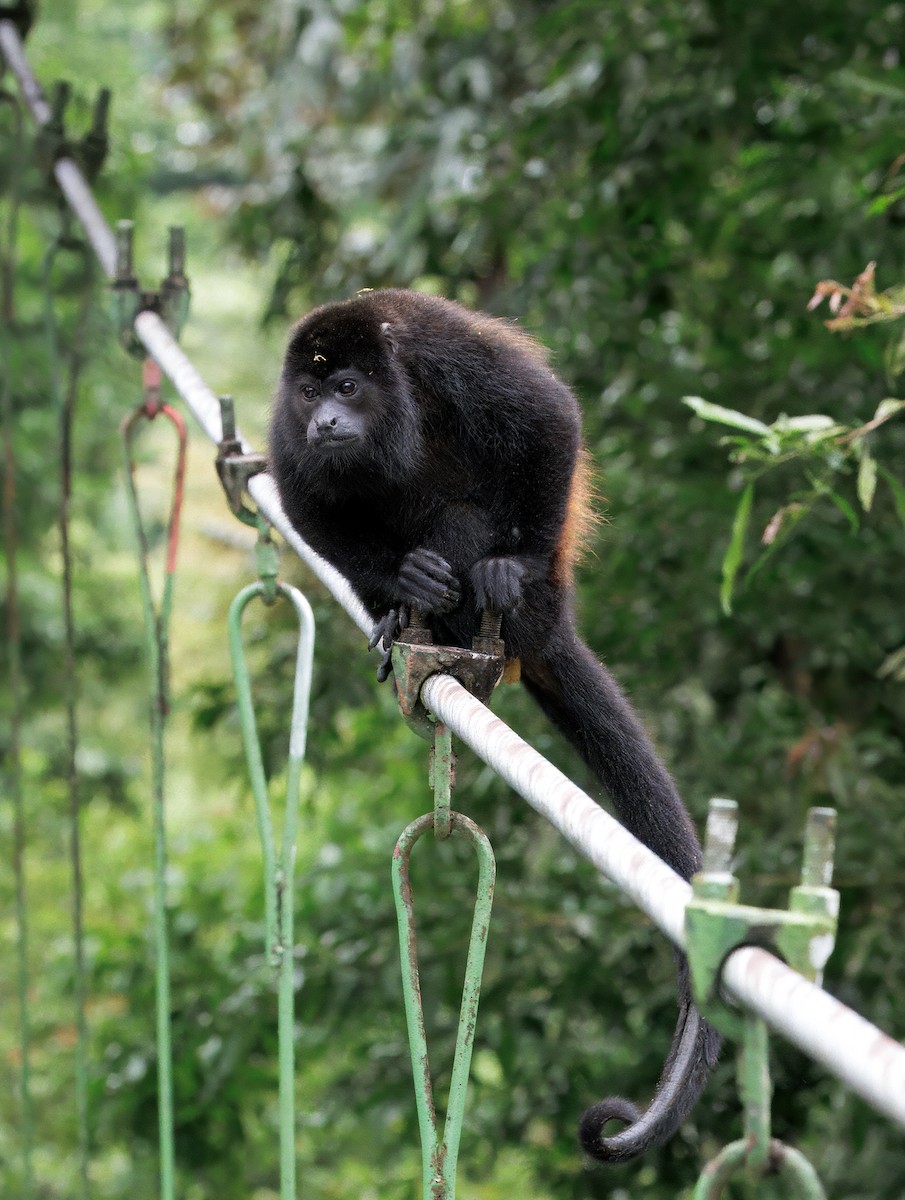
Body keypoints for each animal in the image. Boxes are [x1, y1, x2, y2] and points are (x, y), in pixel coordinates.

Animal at [269, 287, 721, 1164]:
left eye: (346, 387)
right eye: (309, 392)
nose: (325, 421)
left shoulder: (438, 353)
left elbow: (545, 416)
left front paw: (503, 564)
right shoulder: (282, 428)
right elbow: (308, 502)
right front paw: (395, 583)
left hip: (536, 602)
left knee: (467, 519)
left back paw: (470, 592)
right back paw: (399, 612)